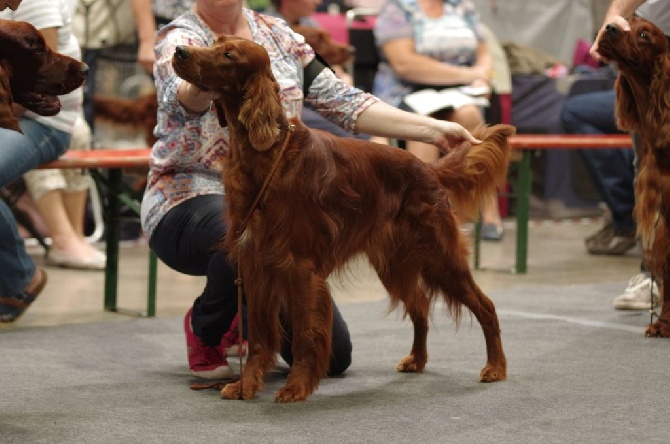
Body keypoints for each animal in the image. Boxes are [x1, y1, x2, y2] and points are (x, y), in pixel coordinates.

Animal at [175, 35, 516, 402]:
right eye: (214, 42)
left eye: (228, 54)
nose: (178, 51)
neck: (266, 156)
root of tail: (427, 168)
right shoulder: (254, 264)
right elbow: (261, 340)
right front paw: (246, 385)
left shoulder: (299, 267)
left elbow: (306, 333)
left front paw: (296, 387)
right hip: (394, 265)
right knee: (421, 305)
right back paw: (417, 359)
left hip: (441, 258)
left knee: (485, 306)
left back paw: (496, 367)